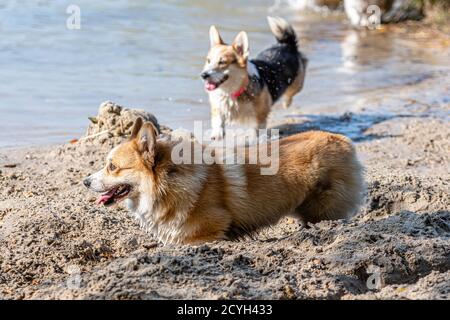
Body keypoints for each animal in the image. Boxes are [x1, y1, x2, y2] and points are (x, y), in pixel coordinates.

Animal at [84, 117, 364, 245]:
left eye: (112, 166)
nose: (85, 181)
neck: (168, 182)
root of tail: (343, 140)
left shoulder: (207, 234)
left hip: (323, 211)